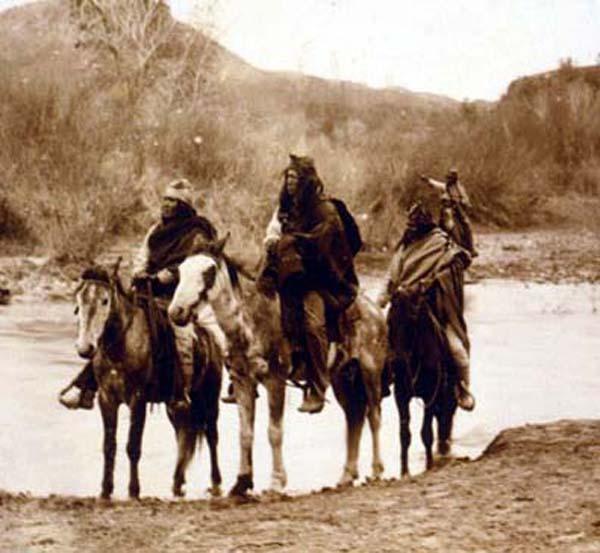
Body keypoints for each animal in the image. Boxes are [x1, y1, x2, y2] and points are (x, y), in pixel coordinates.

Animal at [74, 260, 224, 498]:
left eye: (105, 300)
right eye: (79, 301)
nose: (85, 348)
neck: (121, 346)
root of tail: (209, 338)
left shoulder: (138, 399)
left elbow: (133, 446)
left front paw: (134, 490)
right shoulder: (106, 399)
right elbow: (109, 446)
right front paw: (106, 489)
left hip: (209, 398)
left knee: (211, 435)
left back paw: (216, 483)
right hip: (176, 406)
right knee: (183, 435)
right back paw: (177, 482)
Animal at [166, 240, 386, 496]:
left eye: (209, 271)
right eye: (181, 270)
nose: (177, 312)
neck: (250, 320)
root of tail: (375, 310)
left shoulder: (275, 380)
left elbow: (274, 432)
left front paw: (276, 482)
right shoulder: (243, 381)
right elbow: (245, 433)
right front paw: (242, 482)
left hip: (370, 372)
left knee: (374, 416)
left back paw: (376, 471)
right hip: (343, 377)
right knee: (354, 417)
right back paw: (346, 476)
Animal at [386, 284, 458, 474]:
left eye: (412, 320)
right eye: (390, 321)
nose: (396, 363)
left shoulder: (430, 396)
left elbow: (426, 433)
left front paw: (429, 466)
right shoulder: (401, 395)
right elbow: (404, 434)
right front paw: (404, 471)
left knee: (445, 420)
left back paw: (443, 450)